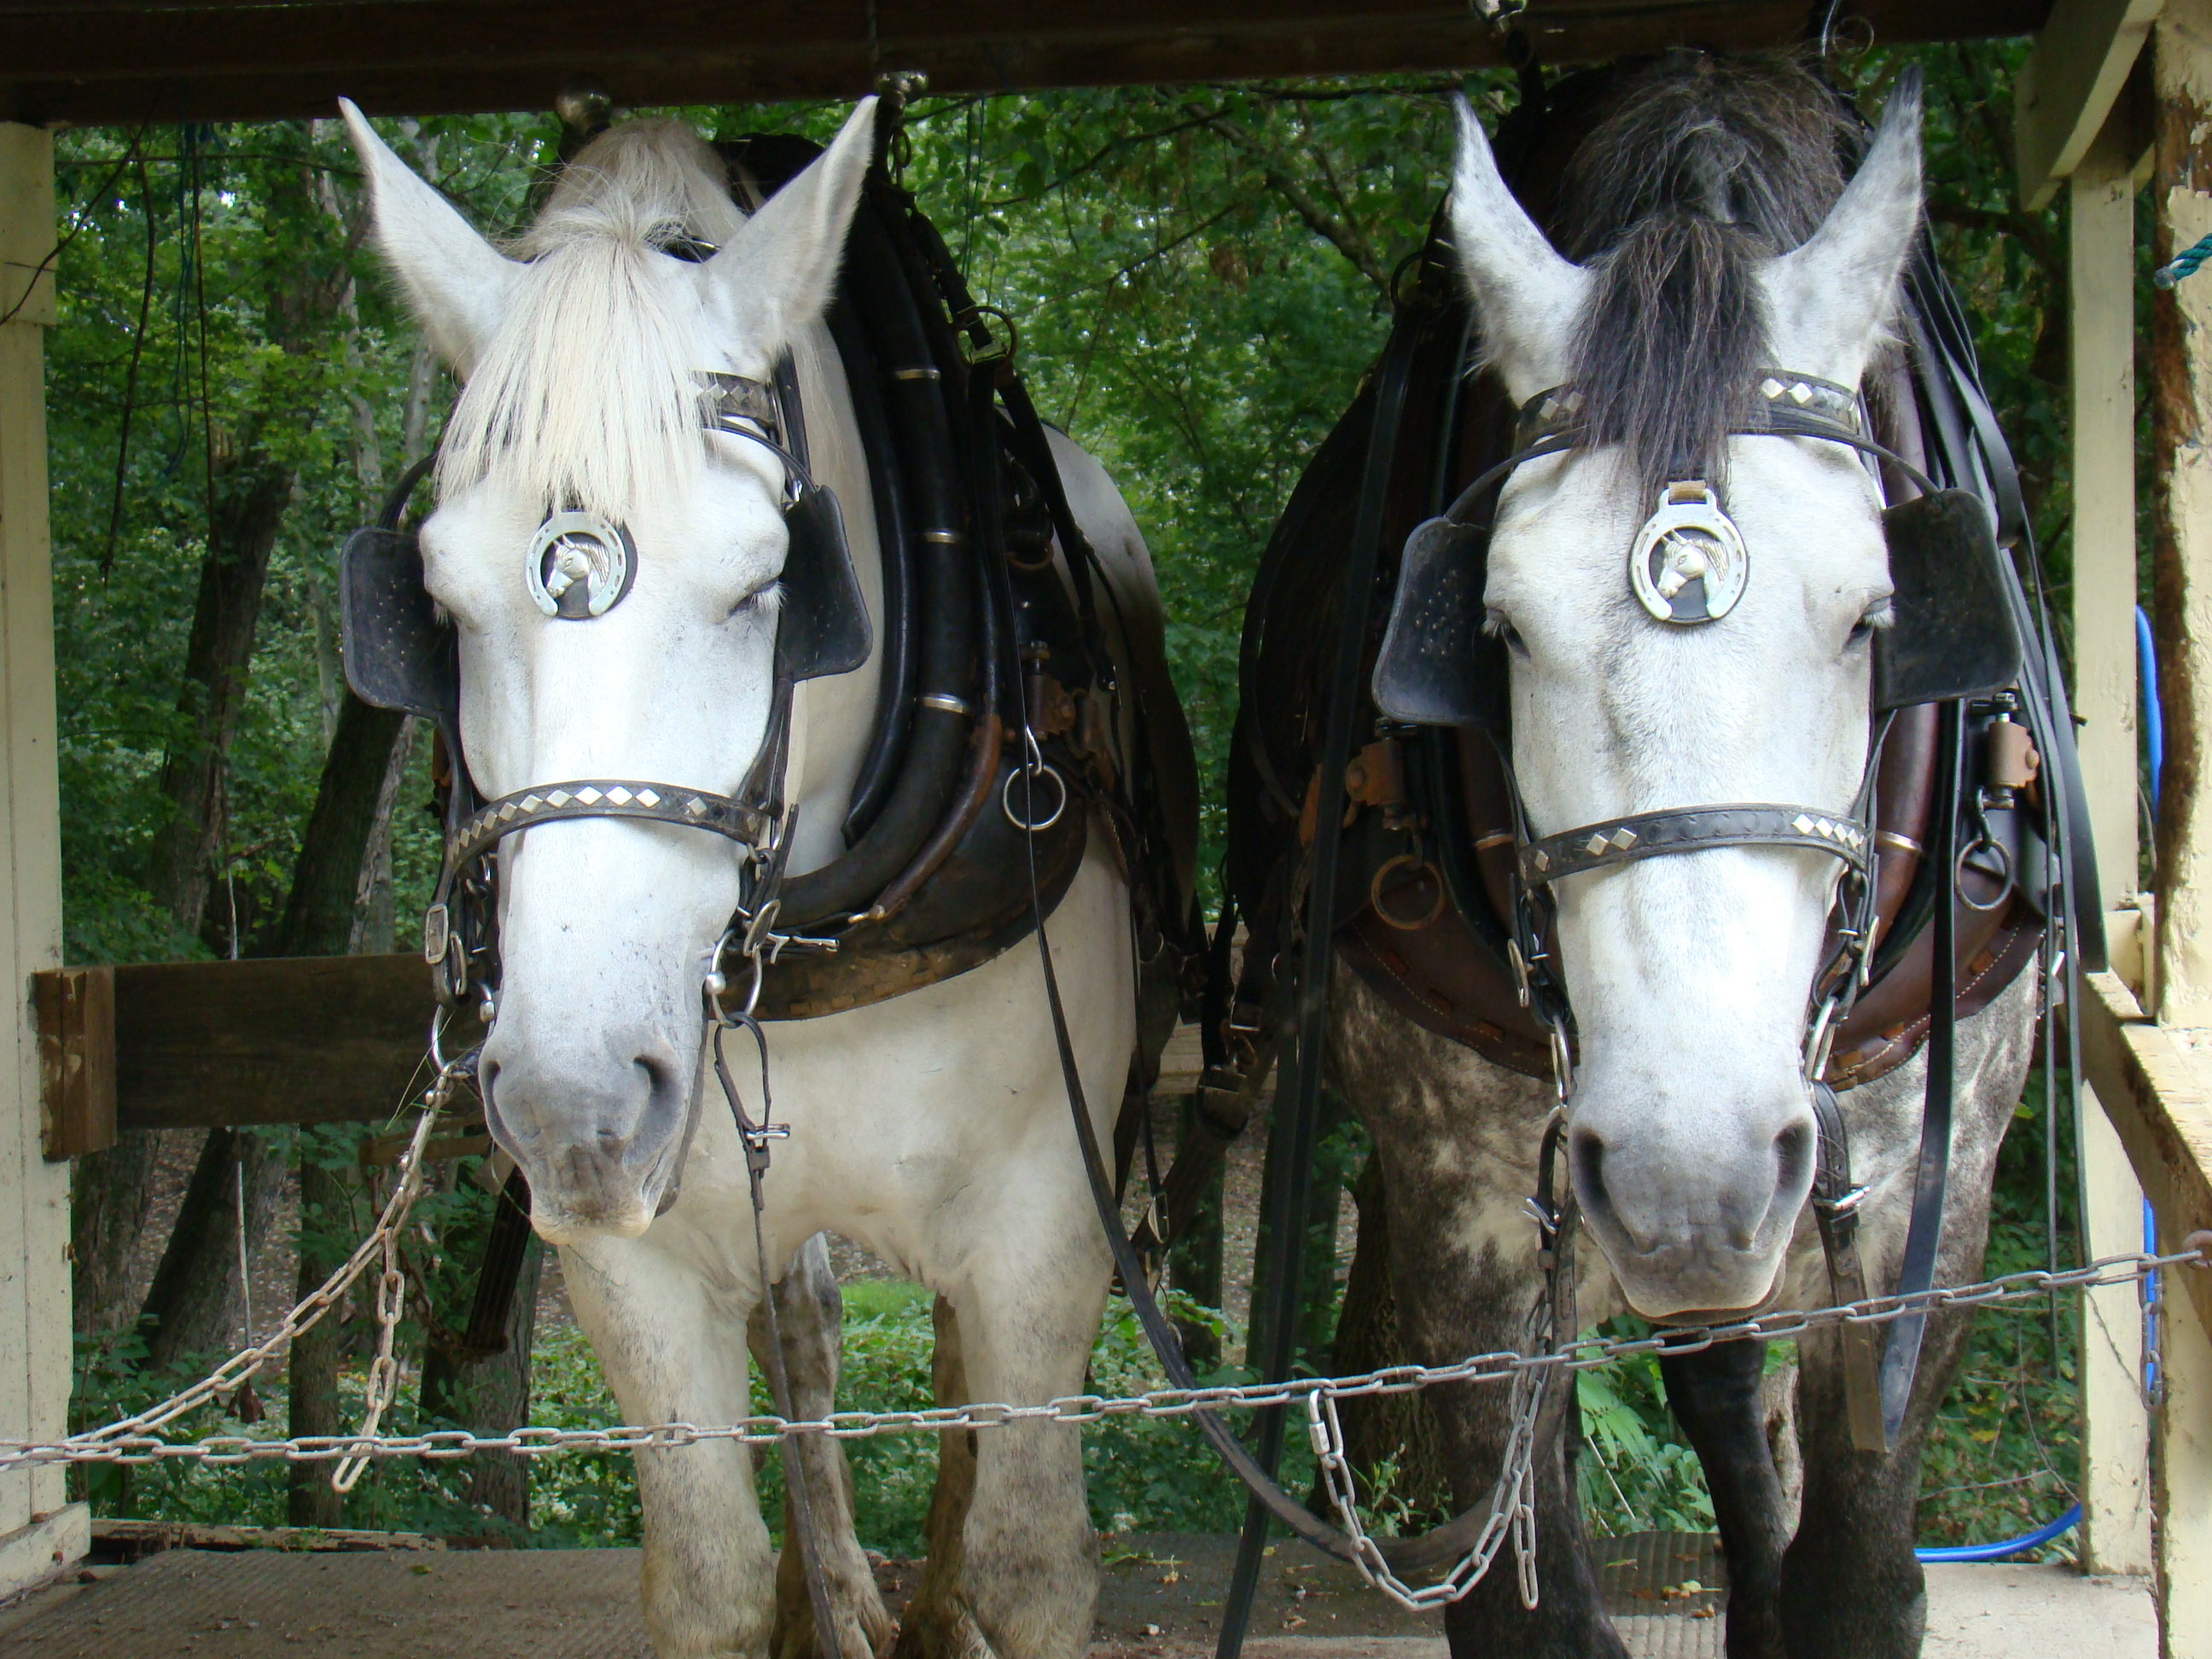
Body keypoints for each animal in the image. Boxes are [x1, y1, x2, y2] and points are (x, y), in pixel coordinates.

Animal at [339, 98, 1197, 1659]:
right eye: (433, 597)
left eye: (764, 584)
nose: (570, 1106)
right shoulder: (632, 1257)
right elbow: (705, 1573)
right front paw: (798, 1592)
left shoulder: (1045, 1219)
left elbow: (1030, 1554)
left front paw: (961, 1594)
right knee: (801, 1334)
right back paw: (837, 1593)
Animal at [1228, 55, 2049, 1658]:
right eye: (1495, 623)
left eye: (1874, 615)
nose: (1691, 1172)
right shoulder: (1464, 1204)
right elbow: (1523, 1594)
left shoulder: (1933, 1187)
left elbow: (1860, 1580)